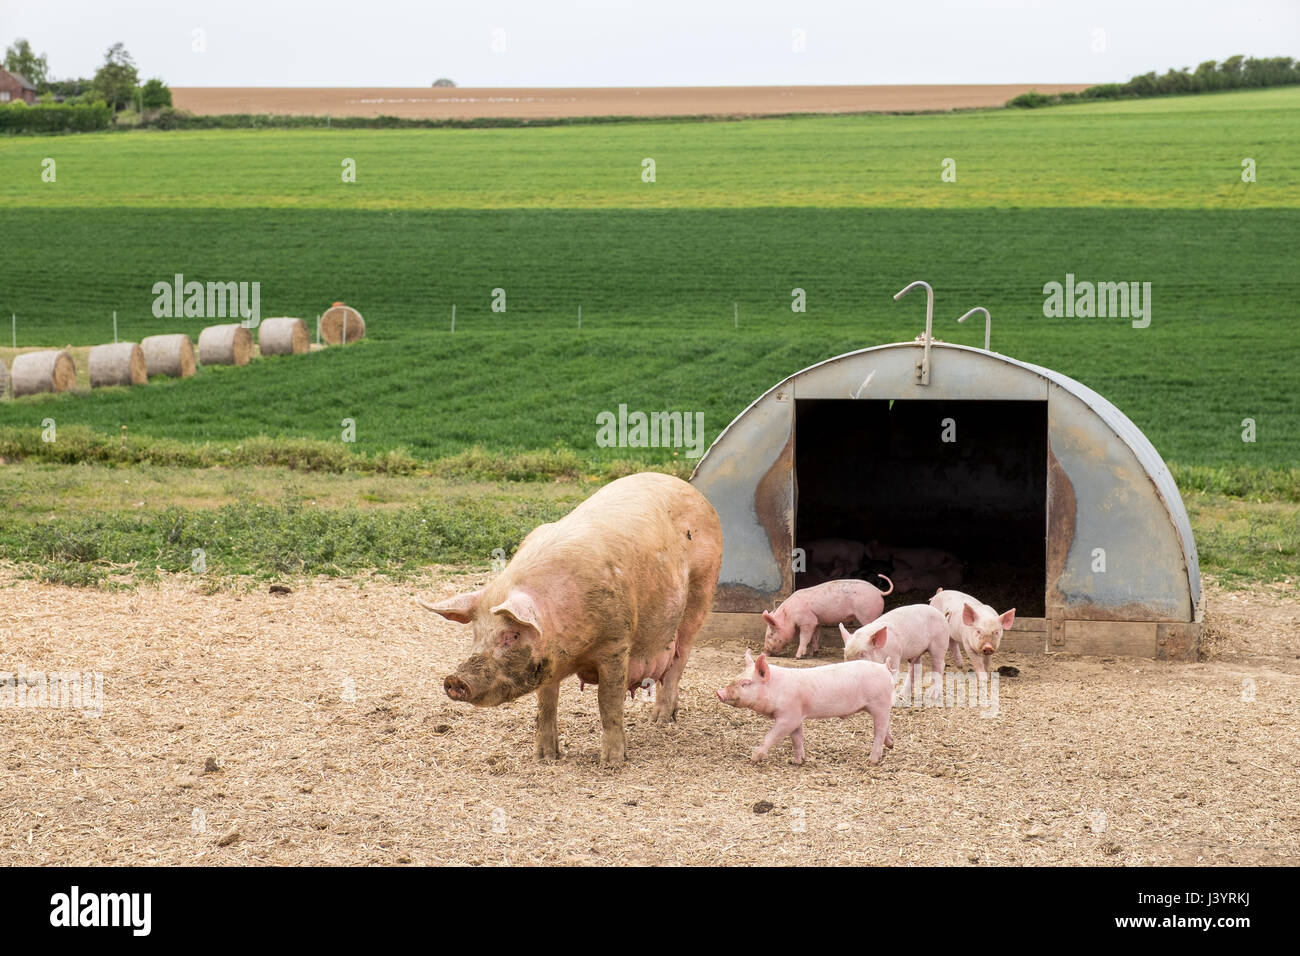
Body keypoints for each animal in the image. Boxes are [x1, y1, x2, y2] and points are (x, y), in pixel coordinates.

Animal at [431, 476, 728, 764]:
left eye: (512, 635)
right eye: (475, 633)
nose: (455, 679)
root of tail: (691, 489)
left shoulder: (616, 643)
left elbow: (608, 702)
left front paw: (612, 762)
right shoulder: (547, 660)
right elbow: (546, 703)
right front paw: (545, 758)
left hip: (701, 592)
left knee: (678, 662)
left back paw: (660, 720)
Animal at [717, 647, 889, 764]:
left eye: (746, 683)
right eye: (736, 677)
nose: (719, 692)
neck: (776, 689)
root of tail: (884, 668)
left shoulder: (788, 716)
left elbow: (772, 735)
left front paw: (754, 758)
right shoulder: (797, 715)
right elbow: (797, 738)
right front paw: (798, 761)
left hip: (880, 704)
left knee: (879, 731)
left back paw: (872, 761)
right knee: (887, 727)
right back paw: (891, 745)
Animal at [759, 574, 894, 658]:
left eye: (770, 634)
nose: (764, 652)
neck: (789, 615)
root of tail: (878, 591)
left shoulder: (808, 621)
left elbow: (804, 638)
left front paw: (798, 656)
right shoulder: (817, 621)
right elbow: (815, 637)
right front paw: (813, 654)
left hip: (867, 614)